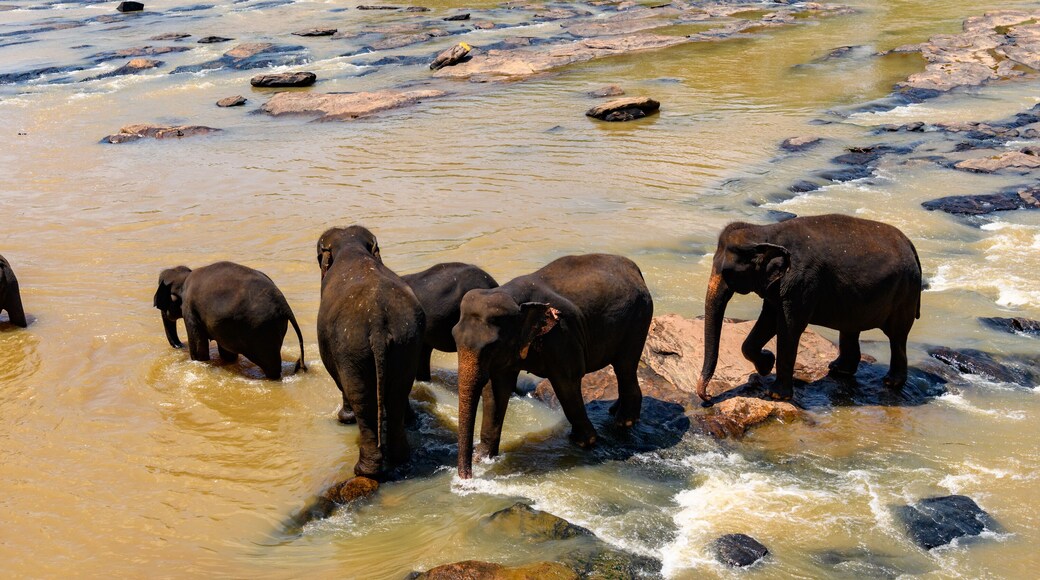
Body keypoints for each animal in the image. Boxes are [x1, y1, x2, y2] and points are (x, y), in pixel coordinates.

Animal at [153, 261, 306, 380]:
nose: (180, 345)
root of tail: (283, 303)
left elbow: (199, 351)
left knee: (271, 366)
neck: (184, 278)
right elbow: (227, 353)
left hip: (263, 331)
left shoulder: (190, 310)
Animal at [316, 226, 426, 479]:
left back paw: (364, 470)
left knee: (361, 397)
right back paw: (399, 458)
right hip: (407, 341)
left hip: (351, 348)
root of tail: (377, 322)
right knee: (398, 393)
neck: (351, 247)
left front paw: (345, 419)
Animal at [453, 254, 654, 479]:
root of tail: (635, 269)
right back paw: (614, 411)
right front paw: (484, 457)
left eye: (491, 346)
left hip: (638, 319)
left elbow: (566, 384)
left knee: (625, 366)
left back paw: (624, 422)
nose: (467, 478)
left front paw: (584, 441)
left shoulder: (562, 335)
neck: (512, 296)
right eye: (453, 337)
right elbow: (496, 391)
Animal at [697, 214, 922, 404]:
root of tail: (911, 245)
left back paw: (890, 382)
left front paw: (775, 394)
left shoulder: (800, 283)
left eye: (727, 272)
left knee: (897, 336)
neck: (764, 232)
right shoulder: (777, 286)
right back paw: (839, 370)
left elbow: (789, 328)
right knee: (850, 329)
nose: (708, 398)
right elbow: (769, 319)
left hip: (905, 292)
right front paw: (767, 364)